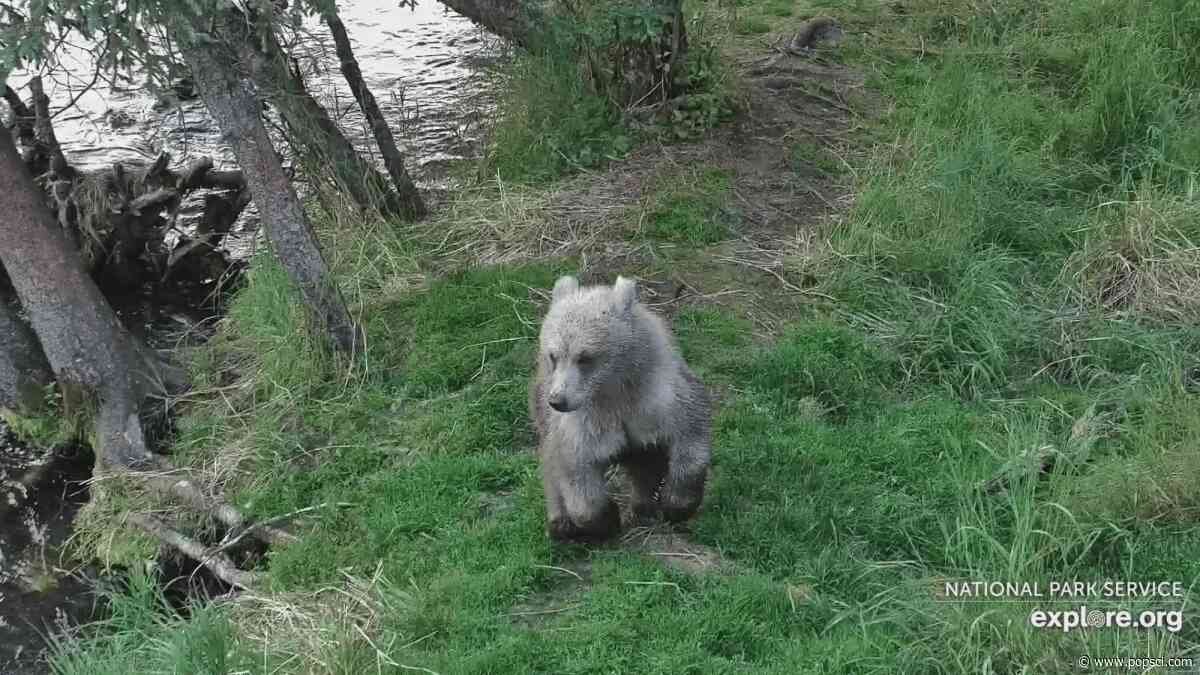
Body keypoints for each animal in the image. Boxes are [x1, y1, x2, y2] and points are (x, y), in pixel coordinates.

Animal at [528, 274, 713, 542]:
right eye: (554, 355)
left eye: (585, 357)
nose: (558, 400)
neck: (613, 391)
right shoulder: (581, 425)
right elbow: (576, 476)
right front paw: (606, 520)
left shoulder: (659, 400)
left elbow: (690, 437)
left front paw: (676, 505)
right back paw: (562, 526)